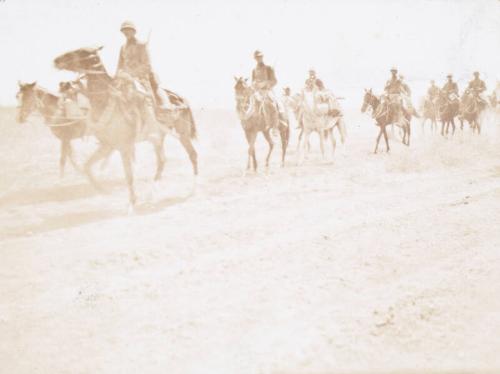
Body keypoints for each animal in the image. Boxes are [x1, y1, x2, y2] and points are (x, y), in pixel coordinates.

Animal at [52, 46, 197, 207]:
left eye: (81, 52)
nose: (56, 60)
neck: (104, 102)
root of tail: (180, 98)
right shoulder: (108, 145)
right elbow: (87, 167)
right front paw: (102, 190)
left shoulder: (124, 146)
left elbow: (129, 176)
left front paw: (132, 203)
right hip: (159, 137)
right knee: (162, 161)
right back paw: (150, 195)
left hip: (182, 134)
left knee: (192, 155)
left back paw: (192, 190)